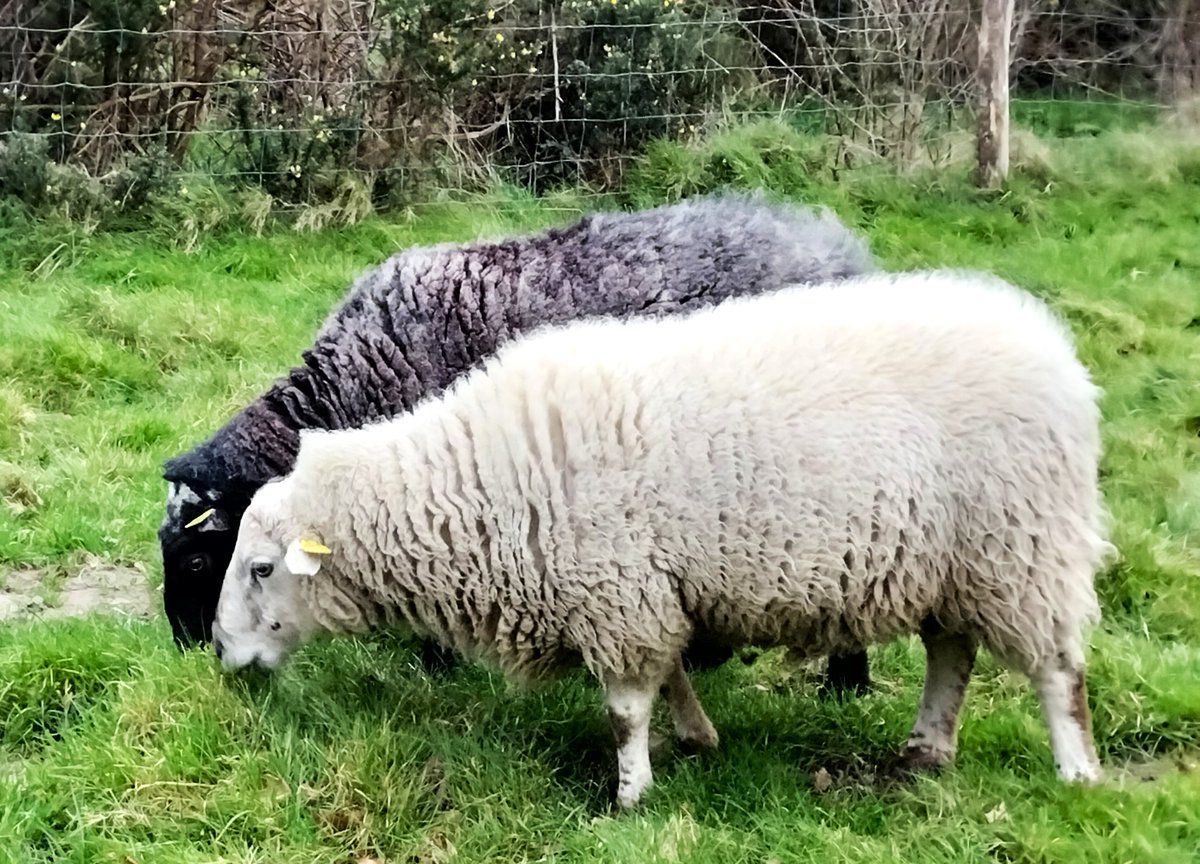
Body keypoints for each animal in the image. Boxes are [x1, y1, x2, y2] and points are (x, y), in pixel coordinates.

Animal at [159, 193, 877, 690]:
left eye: (195, 561)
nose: (187, 646)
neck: (363, 371)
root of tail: (840, 246)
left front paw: (437, 660)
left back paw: (845, 683)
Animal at [211, 269, 1111, 808]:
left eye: (260, 568)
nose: (220, 654)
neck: (478, 480)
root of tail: (1054, 350)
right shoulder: (647, 589)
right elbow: (670, 673)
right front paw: (697, 737)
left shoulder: (616, 589)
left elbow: (623, 710)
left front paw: (630, 795)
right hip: (954, 564)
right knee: (951, 655)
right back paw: (927, 750)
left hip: (1024, 546)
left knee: (1058, 670)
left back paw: (1076, 770)